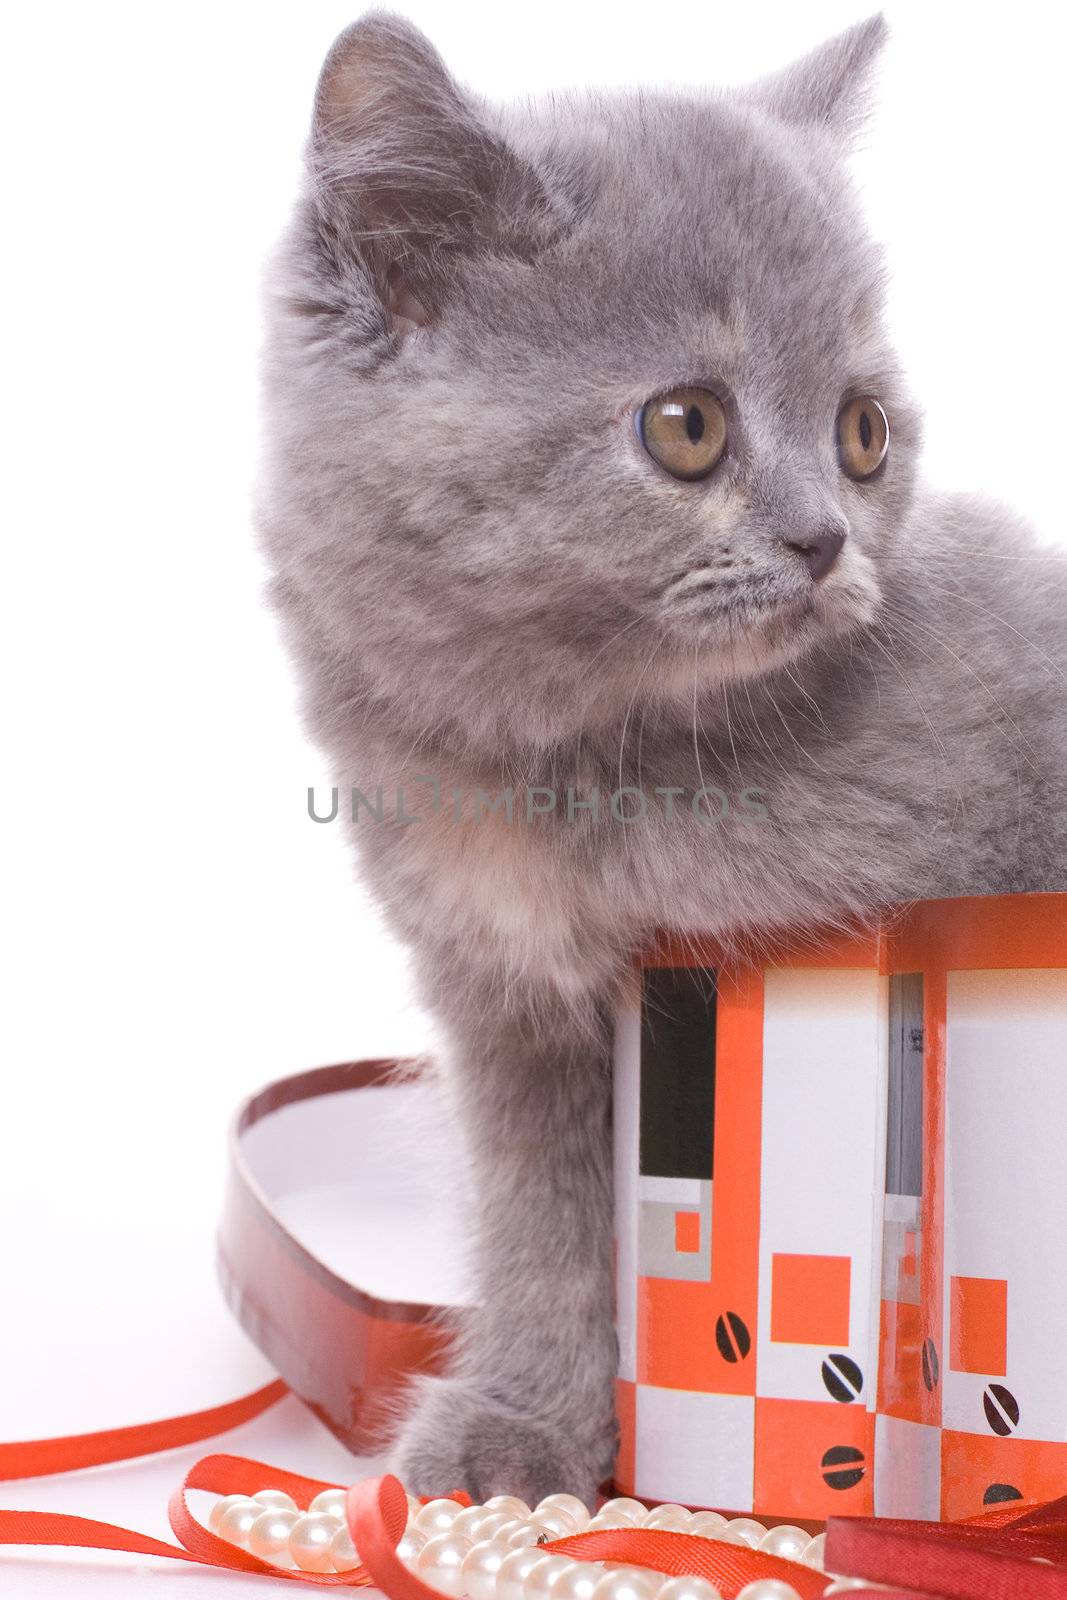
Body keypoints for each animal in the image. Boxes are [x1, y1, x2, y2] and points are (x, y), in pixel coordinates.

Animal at [260, 12, 1067, 1504]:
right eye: (684, 425)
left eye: (861, 431)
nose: (824, 540)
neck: (586, 756)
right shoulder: (508, 1003)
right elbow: (546, 1231)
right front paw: (524, 1427)